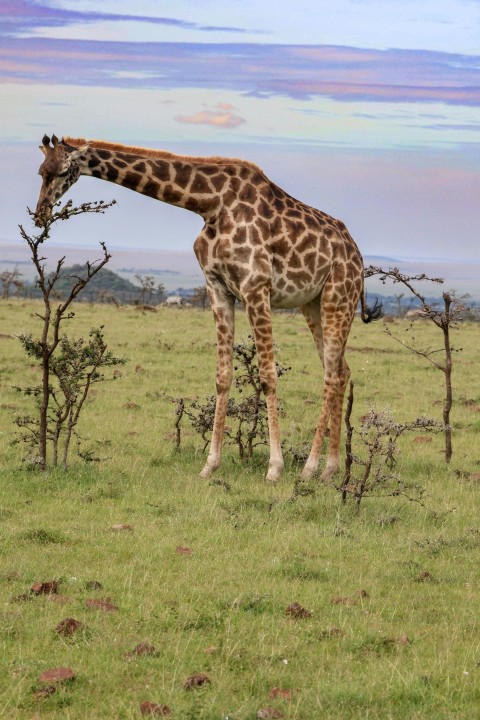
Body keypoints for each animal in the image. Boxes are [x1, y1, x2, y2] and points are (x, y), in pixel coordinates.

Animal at [35, 135, 380, 484]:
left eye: (62, 172)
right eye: (41, 172)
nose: (40, 214)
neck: (210, 204)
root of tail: (357, 255)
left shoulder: (256, 287)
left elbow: (268, 375)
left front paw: (274, 467)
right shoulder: (218, 288)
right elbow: (223, 375)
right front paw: (210, 464)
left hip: (339, 296)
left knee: (331, 373)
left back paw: (311, 467)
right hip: (312, 303)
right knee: (340, 370)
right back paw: (329, 468)